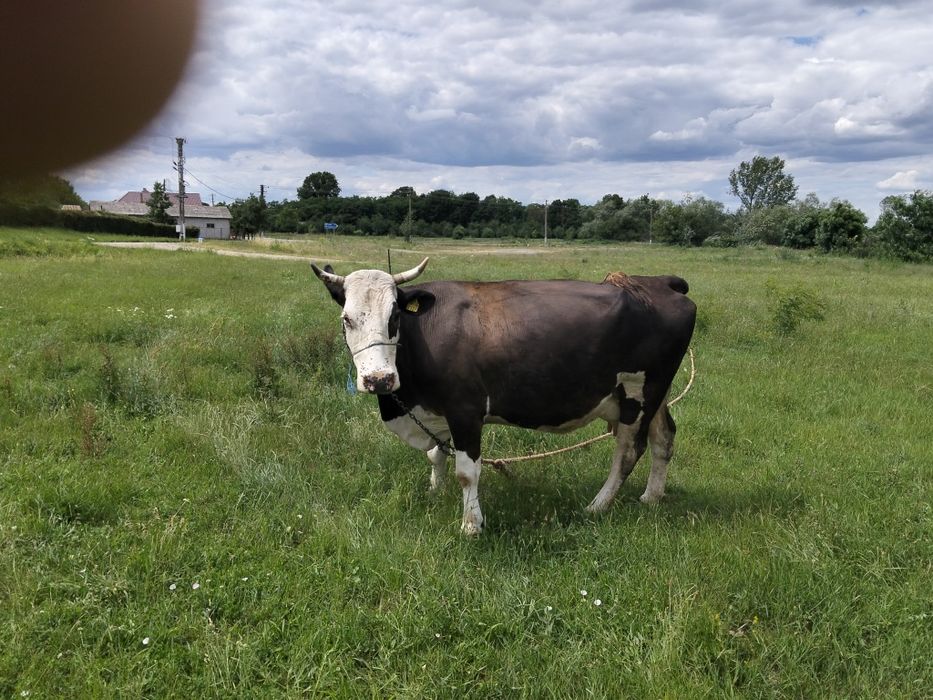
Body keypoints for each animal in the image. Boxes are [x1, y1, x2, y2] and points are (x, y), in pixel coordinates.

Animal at [311, 258, 696, 535]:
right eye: (346, 319)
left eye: (394, 316)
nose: (378, 379)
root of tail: (657, 282)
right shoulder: (438, 412)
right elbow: (436, 454)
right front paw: (435, 491)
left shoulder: (465, 411)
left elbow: (467, 472)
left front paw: (471, 525)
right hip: (654, 395)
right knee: (664, 438)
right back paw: (651, 496)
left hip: (638, 393)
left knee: (629, 451)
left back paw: (597, 505)